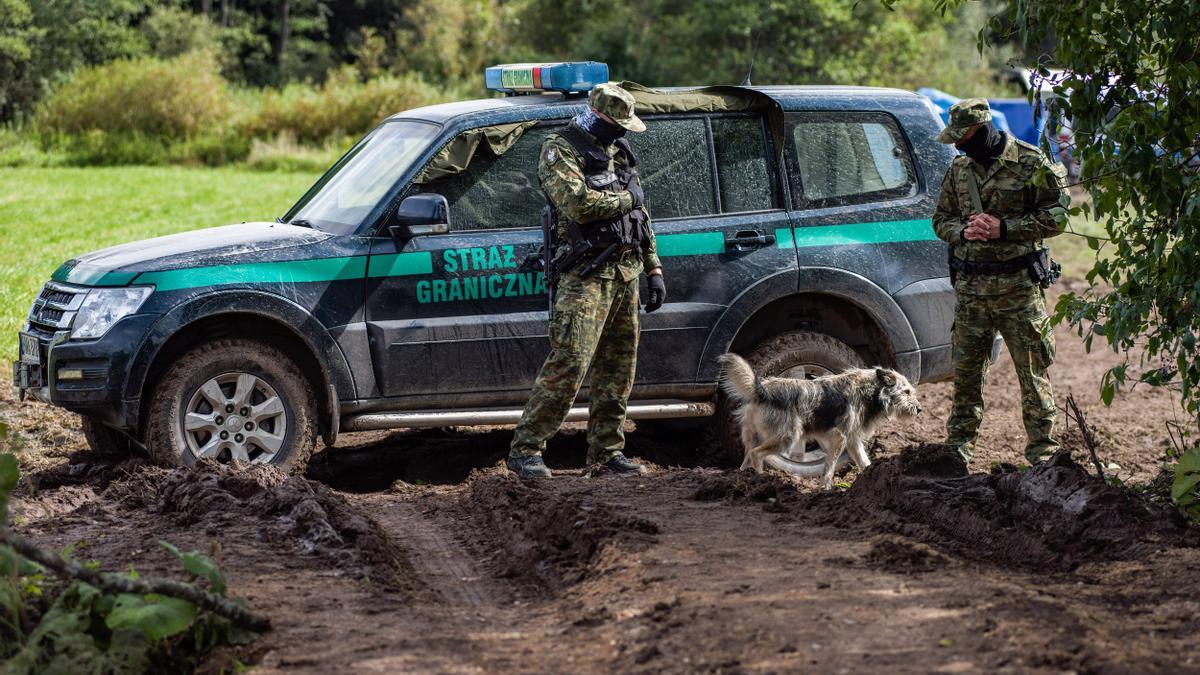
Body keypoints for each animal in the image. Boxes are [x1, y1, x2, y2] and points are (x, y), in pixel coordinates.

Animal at [715, 353, 921, 487]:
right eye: (906, 392)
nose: (920, 409)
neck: (870, 390)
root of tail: (761, 390)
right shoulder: (840, 437)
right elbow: (829, 468)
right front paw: (826, 488)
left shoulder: (851, 439)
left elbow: (863, 461)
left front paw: (871, 476)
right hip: (787, 437)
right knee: (757, 454)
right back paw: (760, 479)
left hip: (753, 435)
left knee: (747, 457)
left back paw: (743, 478)